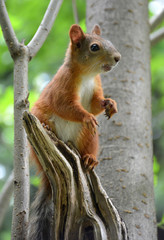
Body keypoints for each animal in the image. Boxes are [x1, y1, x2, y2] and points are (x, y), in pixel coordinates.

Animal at [28, 23, 120, 239]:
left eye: (109, 42)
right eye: (94, 47)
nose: (118, 57)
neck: (87, 75)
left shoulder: (96, 87)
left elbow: (95, 104)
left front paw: (110, 104)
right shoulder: (62, 87)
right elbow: (66, 107)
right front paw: (87, 117)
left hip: (87, 138)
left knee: (89, 145)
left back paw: (90, 158)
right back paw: (46, 127)